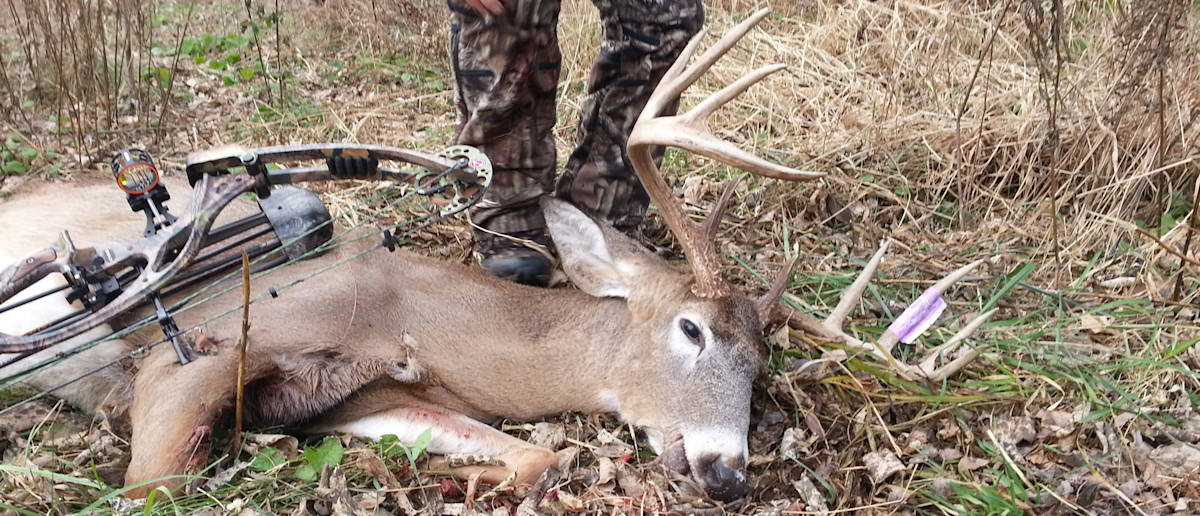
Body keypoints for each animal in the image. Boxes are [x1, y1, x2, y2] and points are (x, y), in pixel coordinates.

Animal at [0, 9, 994, 503]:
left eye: (765, 368)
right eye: (692, 330)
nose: (728, 474)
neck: (413, 315)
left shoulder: (356, 395)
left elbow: (530, 458)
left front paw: (471, 475)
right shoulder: (194, 353)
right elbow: (151, 486)